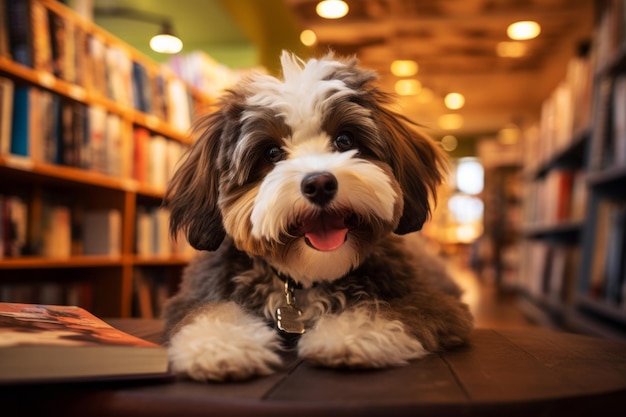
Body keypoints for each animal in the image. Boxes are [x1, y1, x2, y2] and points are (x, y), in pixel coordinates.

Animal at [163, 51, 470, 380]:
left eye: (345, 140)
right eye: (271, 153)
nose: (320, 183)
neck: (305, 279)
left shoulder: (432, 301)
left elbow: (385, 310)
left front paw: (348, 336)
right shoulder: (195, 296)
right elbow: (211, 311)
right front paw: (222, 346)